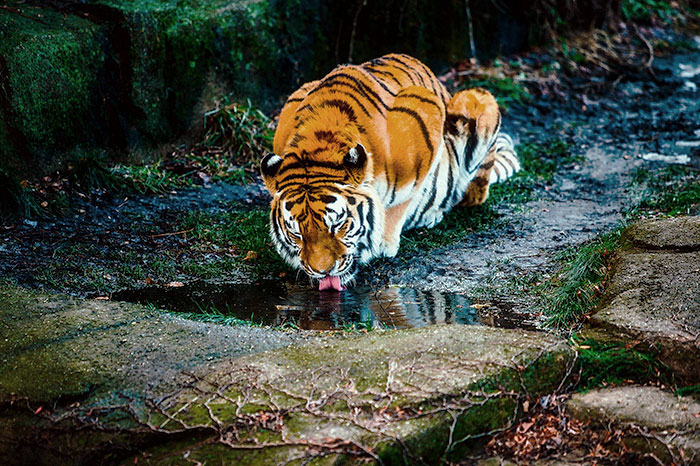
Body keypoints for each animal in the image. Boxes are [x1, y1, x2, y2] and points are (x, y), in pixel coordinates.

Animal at [261, 53, 519, 291]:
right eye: (297, 234)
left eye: (338, 225)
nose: (323, 271)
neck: (320, 141)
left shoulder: (426, 115)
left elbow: (401, 201)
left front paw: (384, 243)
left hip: (476, 99)